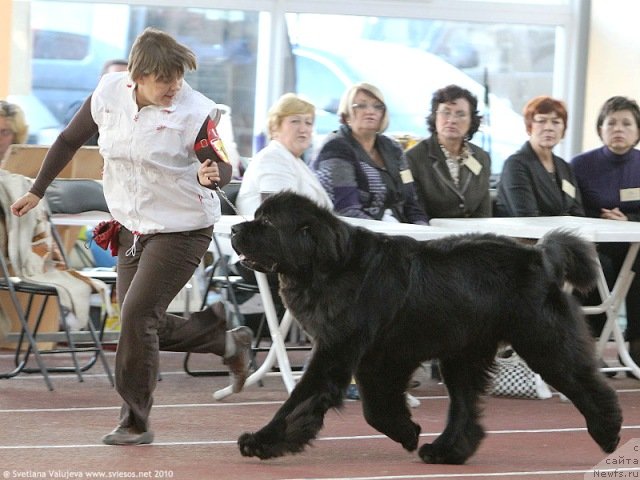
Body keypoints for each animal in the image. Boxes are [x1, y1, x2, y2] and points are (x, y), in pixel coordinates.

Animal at [229, 191, 620, 464]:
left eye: (267, 224)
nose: (233, 228)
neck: (327, 267)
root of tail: (538, 256)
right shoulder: (377, 360)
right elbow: (376, 408)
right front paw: (408, 432)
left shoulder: (338, 352)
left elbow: (299, 399)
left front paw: (261, 441)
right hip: (463, 354)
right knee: (464, 408)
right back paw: (447, 451)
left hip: (541, 341)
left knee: (583, 381)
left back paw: (609, 432)